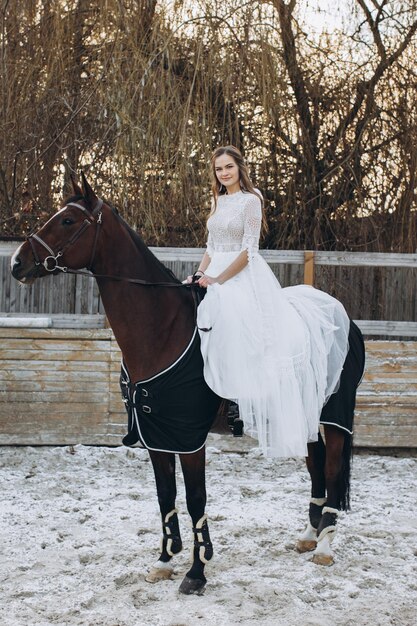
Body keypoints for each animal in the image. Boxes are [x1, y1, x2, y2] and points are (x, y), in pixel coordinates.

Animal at [10, 173, 364, 588]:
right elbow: (165, 494)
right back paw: (309, 535)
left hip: (334, 415)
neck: (166, 330)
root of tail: (339, 314)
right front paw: (165, 559)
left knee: (333, 467)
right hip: (299, 412)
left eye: (67, 220)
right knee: (316, 463)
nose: (18, 263)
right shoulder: (157, 434)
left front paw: (197, 570)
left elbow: (196, 498)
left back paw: (324, 545)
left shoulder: (190, 436)